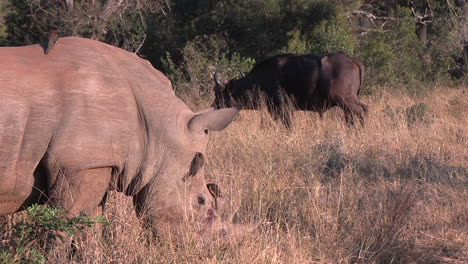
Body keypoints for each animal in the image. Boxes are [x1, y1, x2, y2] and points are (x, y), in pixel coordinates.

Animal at [0, 37, 250, 241]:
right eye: (200, 201)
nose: (209, 249)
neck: (159, 130)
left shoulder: (97, 163)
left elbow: (89, 229)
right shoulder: (80, 163)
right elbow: (61, 228)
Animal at [213, 52, 370, 128]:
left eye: (219, 92)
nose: (214, 106)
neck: (259, 80)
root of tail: (353, 61)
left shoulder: (283, 109)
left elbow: (289, 126)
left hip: (344, 99)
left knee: (363, 109)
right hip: (345, 104)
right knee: (351, 116)